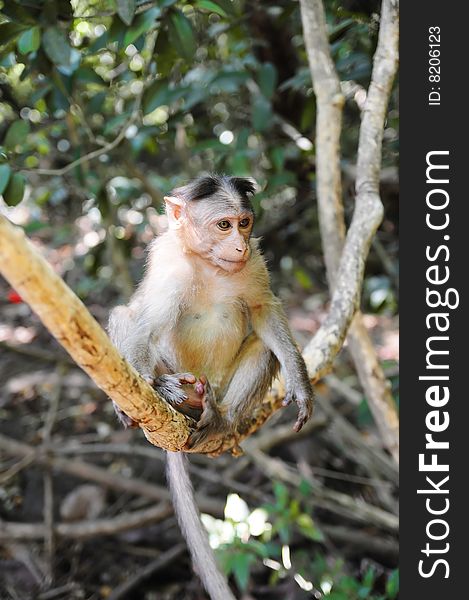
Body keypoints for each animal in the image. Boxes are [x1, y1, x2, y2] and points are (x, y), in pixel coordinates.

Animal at [109, 176, 312, 596]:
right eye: (223, 225)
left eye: (244, 223)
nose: (239, 245)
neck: (207, 263)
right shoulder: (169, 268)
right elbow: (143, 324)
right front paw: (152, 388)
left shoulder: (254, 263)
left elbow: (263, 309)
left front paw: (300, 382)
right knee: (126, 315)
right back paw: (172, 394)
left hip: (219, 387)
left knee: (263, 348)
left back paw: (221, 418)